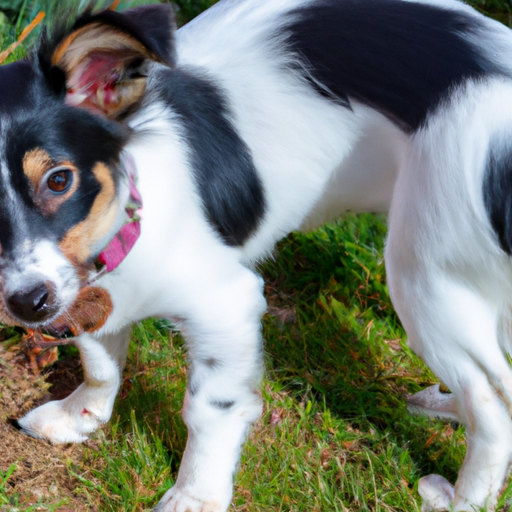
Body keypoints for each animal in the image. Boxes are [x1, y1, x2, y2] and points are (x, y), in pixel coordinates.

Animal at [1, 0, 512, 510]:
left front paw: (195, 495)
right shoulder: (81, 288)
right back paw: (447, 406)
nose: (27, 305)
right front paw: (79, 417)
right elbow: (100, 361)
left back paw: (463, 500)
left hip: (423, 276)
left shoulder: (225, 303)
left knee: (492, 405)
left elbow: (208, 409)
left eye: (59, 180)